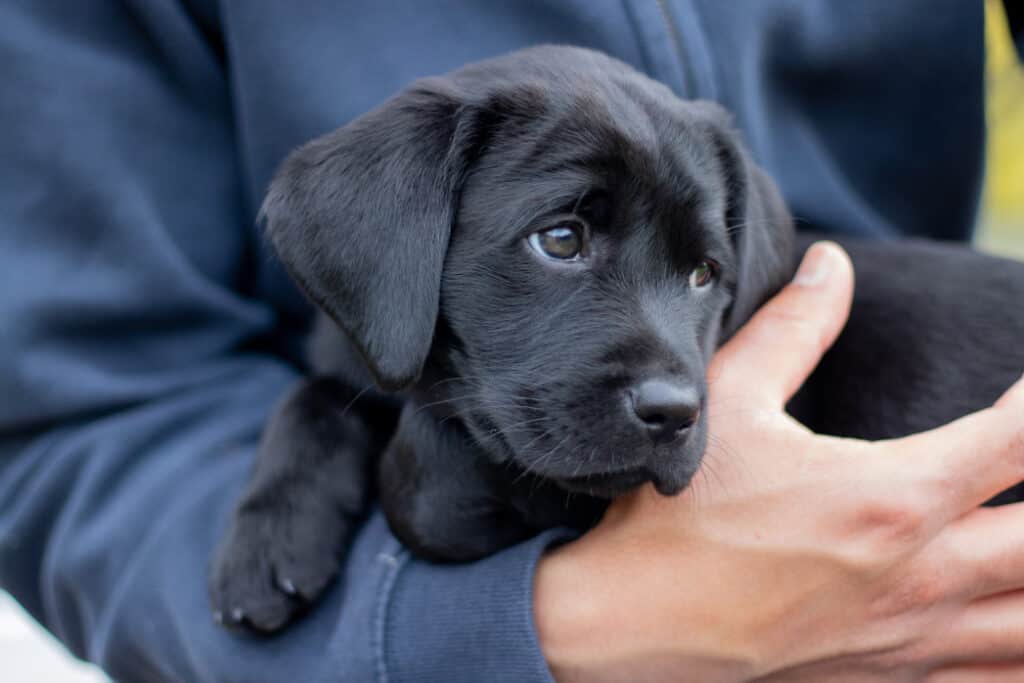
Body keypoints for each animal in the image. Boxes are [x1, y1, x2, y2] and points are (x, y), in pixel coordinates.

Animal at [207, 45, 1024, 634]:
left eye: (704, 273)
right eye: (561, 239)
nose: (674, 414)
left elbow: (427, 480)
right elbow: (318, 395)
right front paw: (268, 540)